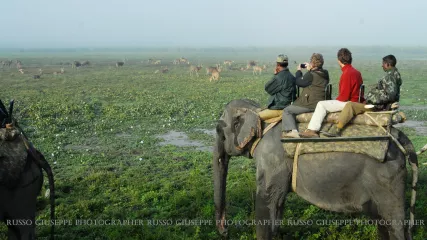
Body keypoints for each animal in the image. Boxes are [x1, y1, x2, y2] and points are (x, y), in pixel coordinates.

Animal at [212, 99, 420, 240]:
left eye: (218, 130)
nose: (225, 231)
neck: (261, 113)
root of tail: (399, 135)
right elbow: (277, 205)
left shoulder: (272, 160)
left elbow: (266, 201)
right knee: (381, 222)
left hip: (388, 178)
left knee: (394, 223)